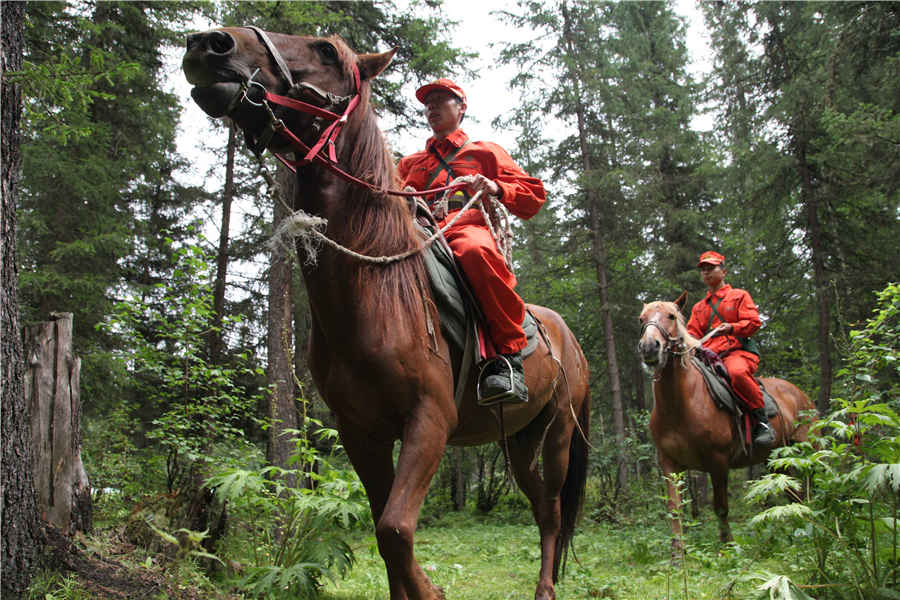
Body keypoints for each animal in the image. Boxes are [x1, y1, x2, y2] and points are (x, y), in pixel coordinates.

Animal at [182, 25, 592, 596]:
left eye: (326, 51)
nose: (211, 43)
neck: (375, 295)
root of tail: (568, 337)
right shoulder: (361, 432)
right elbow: (384, 535)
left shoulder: (431, 420)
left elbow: (395, 530)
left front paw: (432, 591)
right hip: (518, 440)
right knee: (539, 506)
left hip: (557, 433)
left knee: (552, 510)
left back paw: (545, 589)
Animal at [636, 296, 812, 548]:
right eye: (642, 319)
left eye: (671, 316)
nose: (650, 347)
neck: (680, 405)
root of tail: (800, 394)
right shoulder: (669, 463)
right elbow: (674, 509)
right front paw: (677, 553)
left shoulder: (717, 461)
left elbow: (721, 508)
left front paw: (727, 547)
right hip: (777, 458)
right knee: (792, 492)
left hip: (806, 451)